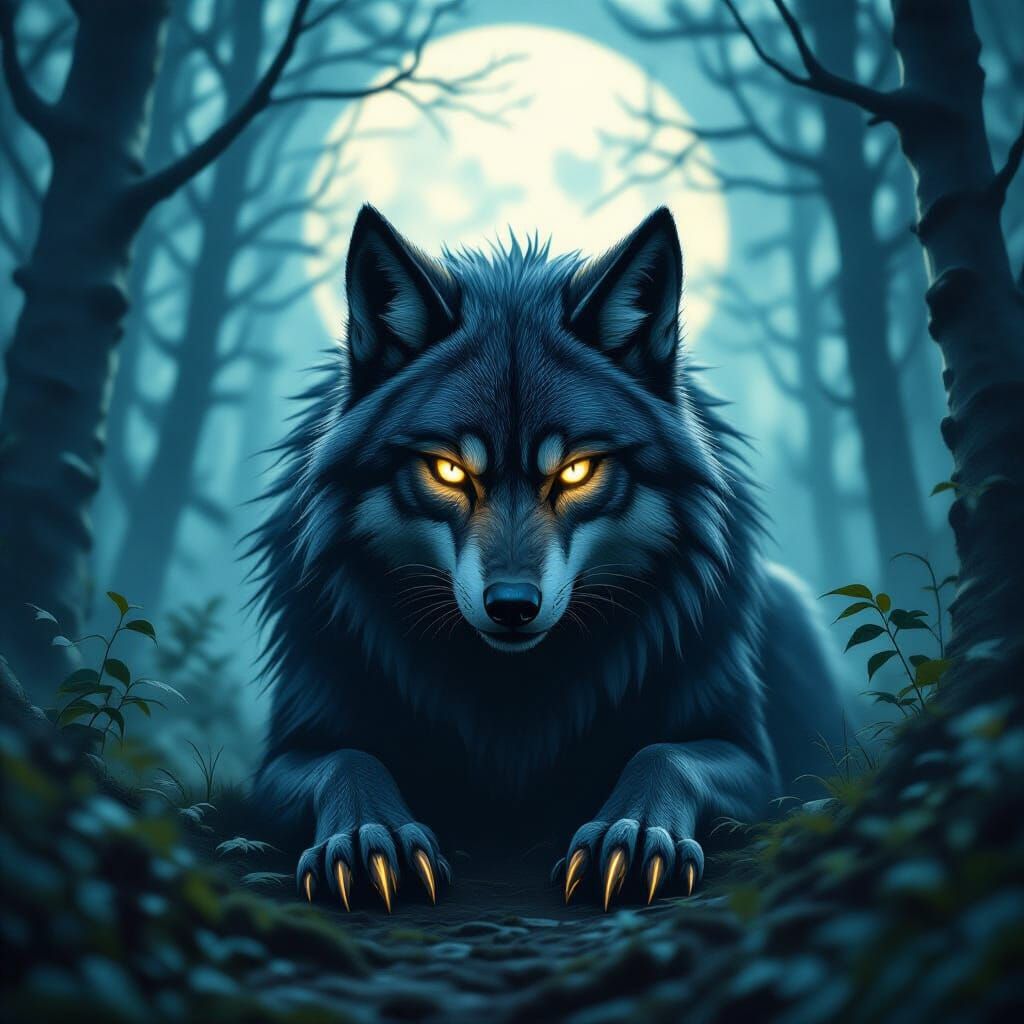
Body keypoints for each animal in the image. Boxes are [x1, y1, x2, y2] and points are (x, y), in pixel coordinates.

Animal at [249, 204, 848, 912]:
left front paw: (633, 832)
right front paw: (371, 834)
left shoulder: (751, 757)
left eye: (576, 471)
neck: (514, 694)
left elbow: (663, 753)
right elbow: (350, 758)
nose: (512, 607)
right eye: (449, 471)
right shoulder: (285, 754)